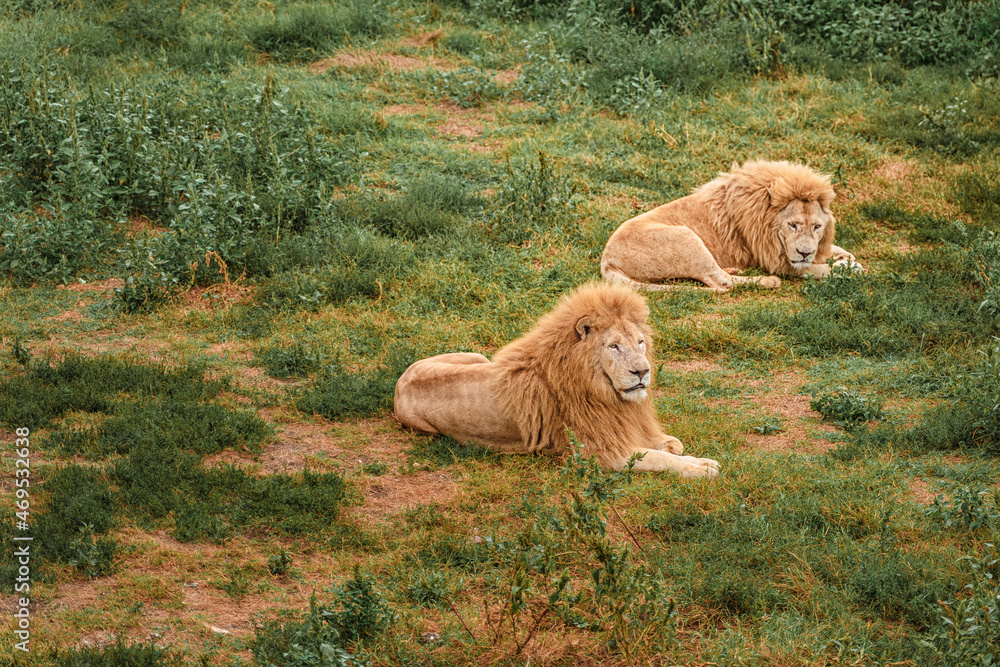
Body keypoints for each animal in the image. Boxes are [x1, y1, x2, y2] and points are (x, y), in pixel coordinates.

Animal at [393, 283, 720, 478]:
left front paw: (670, 443)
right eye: (614, 346)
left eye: (640, 342)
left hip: (478, 357)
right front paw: (704, 466)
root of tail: (400, 382)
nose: (642, 372)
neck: (603, 392)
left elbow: (666, 446)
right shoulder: (599, 454)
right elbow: (659, 459)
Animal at [600, 160, 862, 291]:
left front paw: (843, 257)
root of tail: (606, 260)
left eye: (817, 227)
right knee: (720, 281)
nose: (805, 252)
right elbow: (817, 270)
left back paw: (737, 269)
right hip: (687, 236)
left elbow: (834, 251)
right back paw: (767, 282)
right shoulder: (777, 260)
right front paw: (847, 268)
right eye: (793, 225)